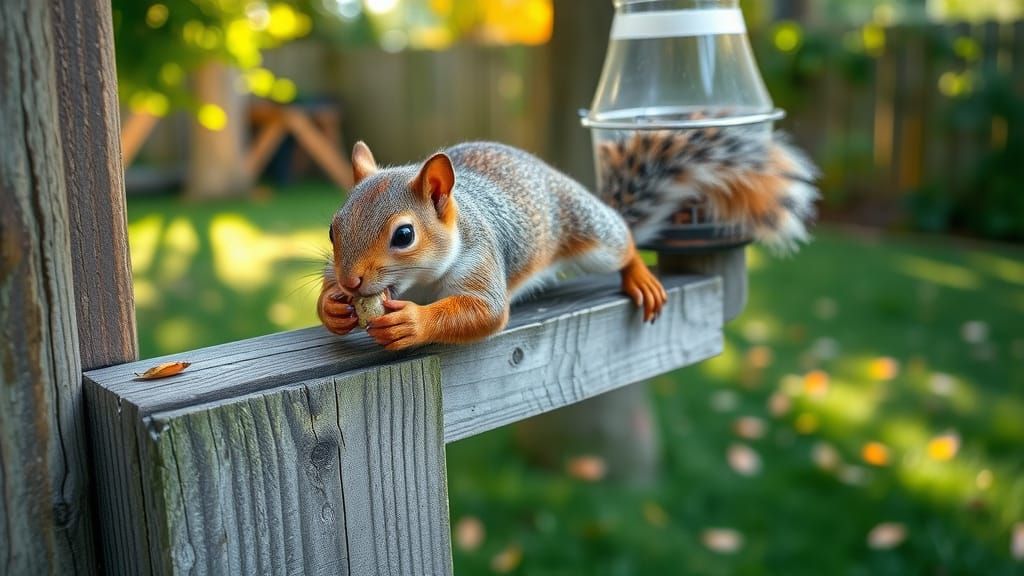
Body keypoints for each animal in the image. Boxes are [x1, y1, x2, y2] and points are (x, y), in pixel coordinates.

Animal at [317, 141, 668, 351]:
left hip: (590, 234)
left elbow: (488, 311)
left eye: (404, 235)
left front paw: (413, 323)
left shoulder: (480, 258)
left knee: (621, 244)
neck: (420, 283)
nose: (349, 282)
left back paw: (640, 276)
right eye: (333, 230)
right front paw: (332, 307)